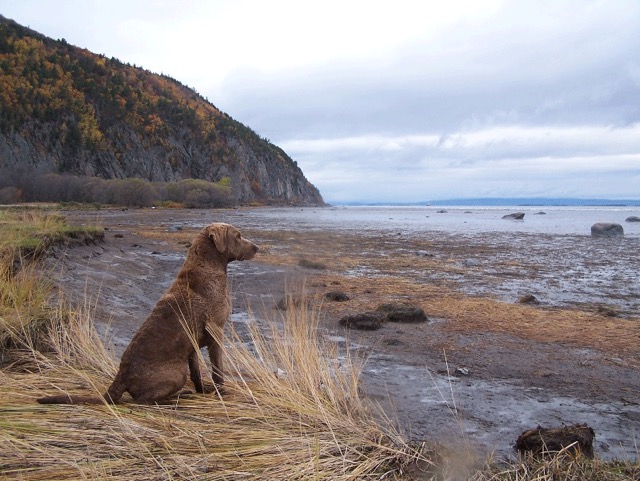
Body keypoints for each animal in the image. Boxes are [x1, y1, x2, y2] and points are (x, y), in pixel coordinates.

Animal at [37, 223, 258, 404]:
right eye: (238, 236)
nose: (257, 248)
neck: (207, 266)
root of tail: (120, 379)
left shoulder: (193, 345)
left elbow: (196, 372)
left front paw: (202, 390)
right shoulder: (215, 330)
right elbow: (217, 369)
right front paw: (222, 392)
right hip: (177, 372)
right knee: (143, 400)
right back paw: (177, 397)